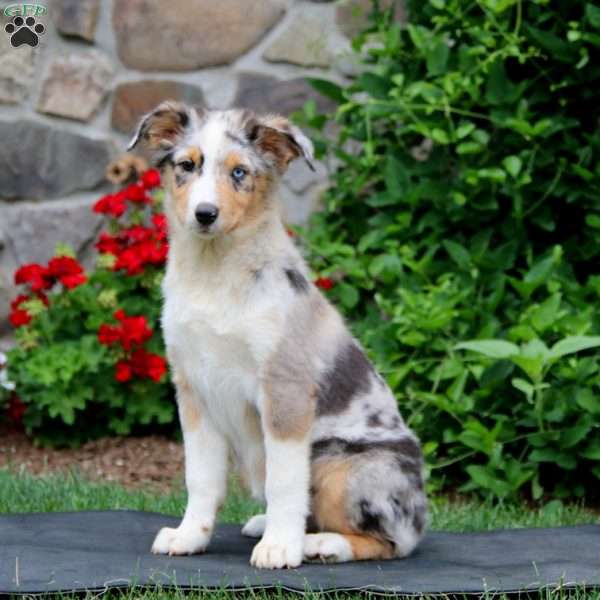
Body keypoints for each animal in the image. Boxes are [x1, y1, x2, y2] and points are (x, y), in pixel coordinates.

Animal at [127, 102, 426, 568]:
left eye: (239, 172)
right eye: (186, 166)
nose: (205, 214)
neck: (215, 271)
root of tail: (421, 511)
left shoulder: (284, 390)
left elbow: (284, 481)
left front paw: (281, 548)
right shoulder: (193, 389)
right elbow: (201, 478)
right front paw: (189, 536)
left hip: (341, 464)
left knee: (391, 541)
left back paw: (319, 543)